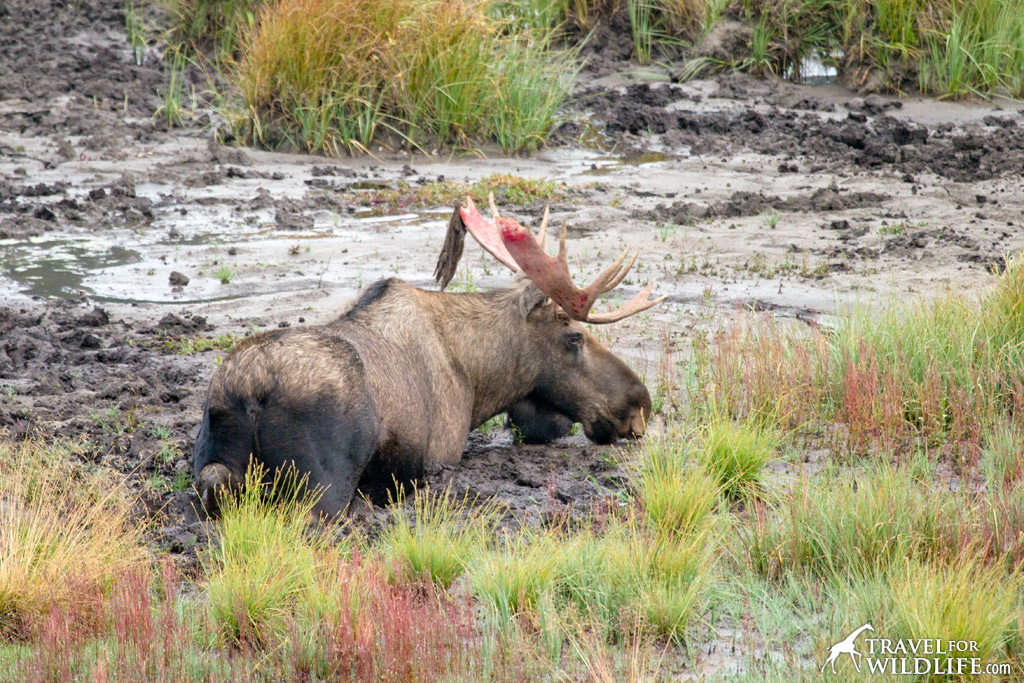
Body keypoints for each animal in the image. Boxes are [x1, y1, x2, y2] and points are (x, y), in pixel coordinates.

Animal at [193, 194, 663, 516]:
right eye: (574, 337)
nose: (639, 404)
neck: (479, 381)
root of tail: (250, 392)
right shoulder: (440, 456)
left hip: (214, 462)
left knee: (215, 483)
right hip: (321, 488)